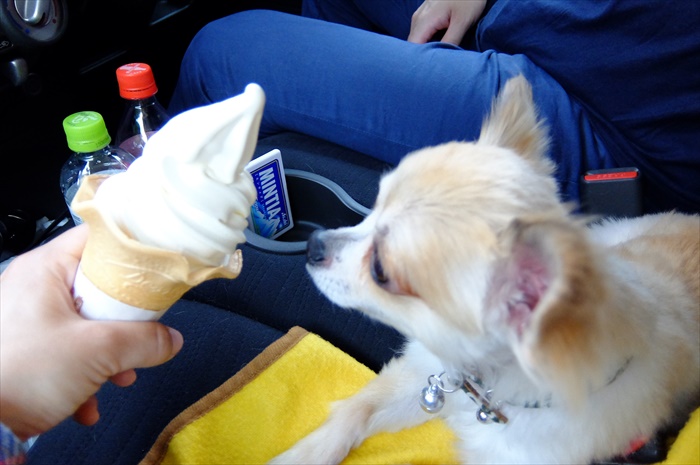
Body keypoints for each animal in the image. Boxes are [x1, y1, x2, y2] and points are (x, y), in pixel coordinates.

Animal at [270, 76, 700, 464]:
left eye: (380, 271)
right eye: (372, 209)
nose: (313, 244)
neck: (484, 387)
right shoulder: (426, 379)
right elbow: (357, 411)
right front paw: (298, 457)